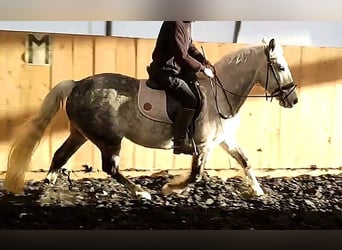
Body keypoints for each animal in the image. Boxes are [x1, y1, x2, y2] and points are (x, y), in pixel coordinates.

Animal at [4, 37, 296, 199]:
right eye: (281, 67)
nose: (293, 100)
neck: (219, 95)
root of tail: (76, 84)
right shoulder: (203, 145)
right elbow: (196, 175)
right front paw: (170, 188)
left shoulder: (222, 140)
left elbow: (245, 160)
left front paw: (258, 191)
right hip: (109, 139)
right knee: (110, 168)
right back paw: (141, 192)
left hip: (81, 134)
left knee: (60, 157)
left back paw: (48, 191)